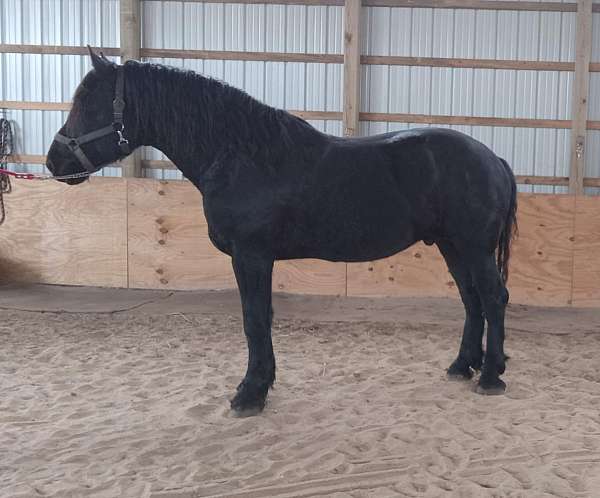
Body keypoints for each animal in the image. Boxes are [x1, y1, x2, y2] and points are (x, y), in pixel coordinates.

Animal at [45, 49, 516, 416]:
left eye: (89, 104)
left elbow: (255, 319)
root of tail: (492, 158)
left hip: (474, 248)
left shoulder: (251, 255)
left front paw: (250, 393)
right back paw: (462, 366)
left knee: (493, 298)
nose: (54, 162)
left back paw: (491, 376)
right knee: (471, 300)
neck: (242, 155)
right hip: (453, 247)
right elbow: (261, 318)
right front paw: (260, 384)